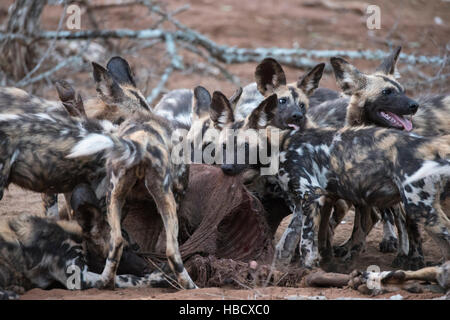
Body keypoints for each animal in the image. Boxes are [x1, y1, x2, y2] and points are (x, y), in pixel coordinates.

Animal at [0, 184, 167, 298]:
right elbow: (128, 278)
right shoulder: (79, 278)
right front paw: (159, 276)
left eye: (133, 246)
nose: (146, 267)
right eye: (122, 250)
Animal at [67, 103, 197, 290]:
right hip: (165, 197)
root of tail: (141, 141)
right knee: (172, 251)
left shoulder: (124, 202)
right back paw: (189, 285)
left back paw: (105, 281)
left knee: (118, 242)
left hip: (114, 196)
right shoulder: (179, 193)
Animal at [221, 95, 450, 270]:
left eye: (245, 146)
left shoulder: (310, 195)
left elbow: (306, 243)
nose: (226, 168)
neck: (281, 144)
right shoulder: (300, 205)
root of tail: (430, 144)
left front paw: (308, 271)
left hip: (419, 207)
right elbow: (287, 243)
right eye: (223, 146)